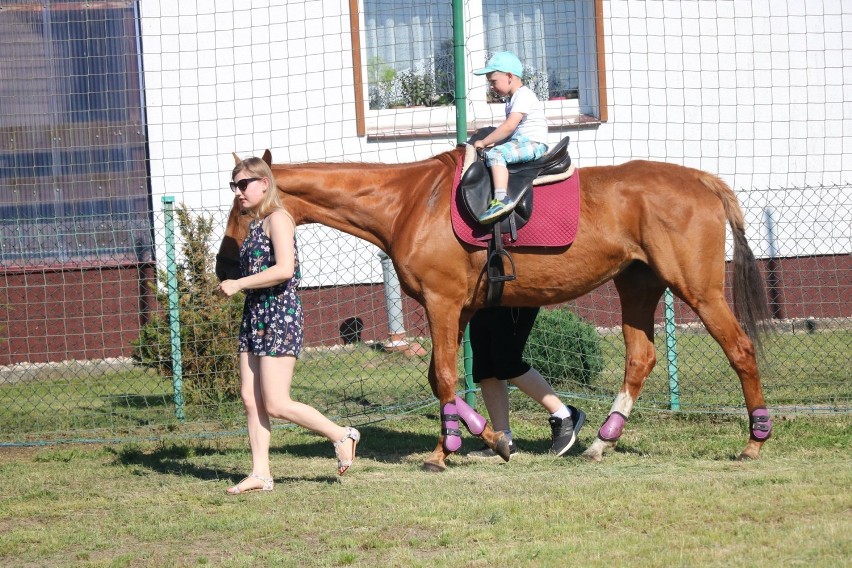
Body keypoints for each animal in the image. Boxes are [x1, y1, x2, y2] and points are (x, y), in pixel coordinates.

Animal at [218, 148, 772, 470]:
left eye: (242, 201)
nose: (224, 263)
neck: (409, 201)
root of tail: (702, 180)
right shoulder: (460, 311)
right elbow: (447, 379)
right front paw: (488, 438)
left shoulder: (442, 305)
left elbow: (444, 377)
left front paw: (450, 450)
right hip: (638, 286)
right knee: (640, 359)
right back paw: (598, 441)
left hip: (698, 290)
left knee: (741, 350)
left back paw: (754, 440)